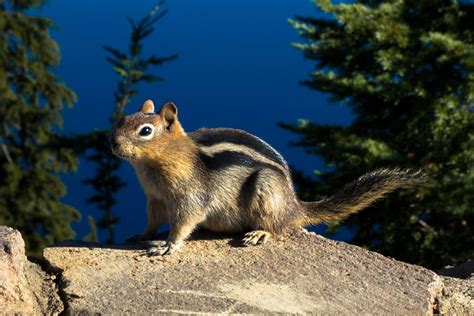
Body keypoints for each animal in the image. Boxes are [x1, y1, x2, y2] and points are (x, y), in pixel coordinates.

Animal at [112, 100, 426, 256]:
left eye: (145, 131)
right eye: (122, 120)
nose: (113, 144)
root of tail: (295, 205)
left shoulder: (191, 197)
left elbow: (184, 222)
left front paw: (168, 246)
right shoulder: (154, 197)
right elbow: (153, 220)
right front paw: (142, 235)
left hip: (266, 188)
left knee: (280, 227)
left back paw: (260, 233)